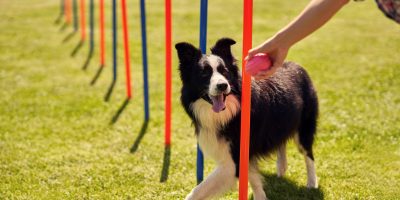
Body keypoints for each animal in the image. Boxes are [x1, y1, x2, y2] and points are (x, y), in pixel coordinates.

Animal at [175, 38, 318, 200]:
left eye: (224, 71)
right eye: (204, 73)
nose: (222, 85)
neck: (228, 114)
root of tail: (297, 65)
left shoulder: (233, 160)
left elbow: (198, 190)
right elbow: (253, 177)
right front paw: (260, 196)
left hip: (304, 127)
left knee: (308, 154)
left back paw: (311, 183)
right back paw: (281, 168)